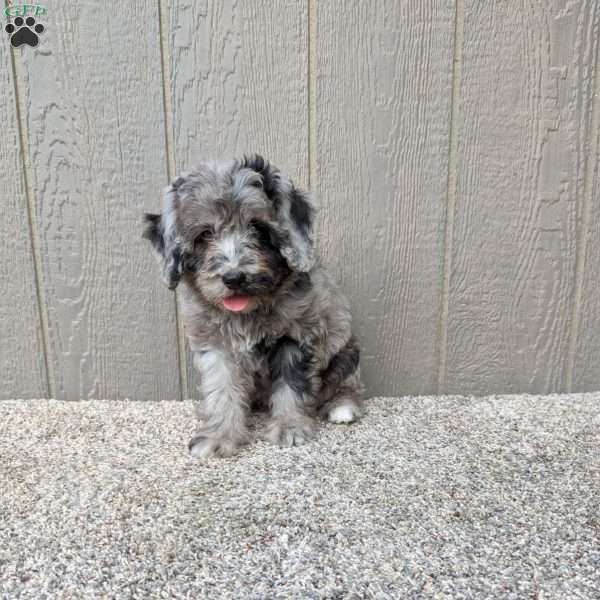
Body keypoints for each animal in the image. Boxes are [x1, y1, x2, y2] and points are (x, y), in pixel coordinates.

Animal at [143, 156, 364, 460]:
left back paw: (343, 406)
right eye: (204, 234)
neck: (249, 312)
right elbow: (221, 389)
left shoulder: (297, 336)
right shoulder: (215, 345)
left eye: (258, 228)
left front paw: (290, 427)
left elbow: (291, 386)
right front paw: (219, 435)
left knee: (346, 381)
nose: (234, 277)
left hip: (345, 348)